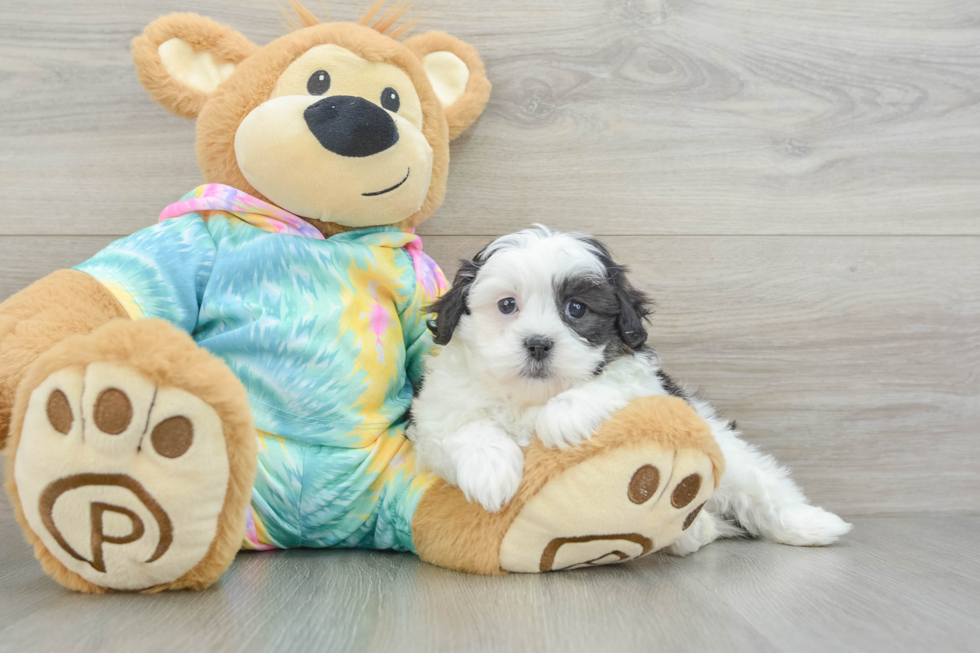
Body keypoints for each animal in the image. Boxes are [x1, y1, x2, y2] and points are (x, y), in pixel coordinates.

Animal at [406, 225, 848, 556]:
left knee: (762, 488)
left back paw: (813, 525)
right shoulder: (434, 414)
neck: (531, 397)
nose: (538, 343)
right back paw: (694, 530)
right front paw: (491, 472)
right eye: (506, 305)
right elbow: (463, 426)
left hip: (728, 453)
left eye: (577, 309)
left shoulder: (649, 386)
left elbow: (611, 383)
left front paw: (563, 415)